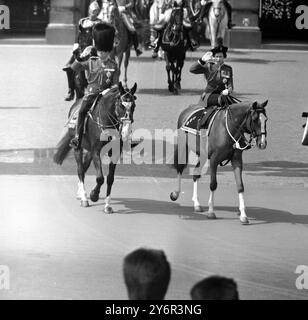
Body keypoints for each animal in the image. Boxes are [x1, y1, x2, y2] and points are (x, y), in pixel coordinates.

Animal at [53, 82, 138, 212]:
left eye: (133, 105)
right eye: (121, 105)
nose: (126, 132)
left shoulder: (114, 153)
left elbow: (110, 178)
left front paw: (107, 205)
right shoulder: (96, 151)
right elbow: (100, 178)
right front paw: (94, 195)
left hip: (89, 151)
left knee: (84, 167)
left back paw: (80, 193)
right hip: (78, 147)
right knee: (80, 170)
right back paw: (84, 198)